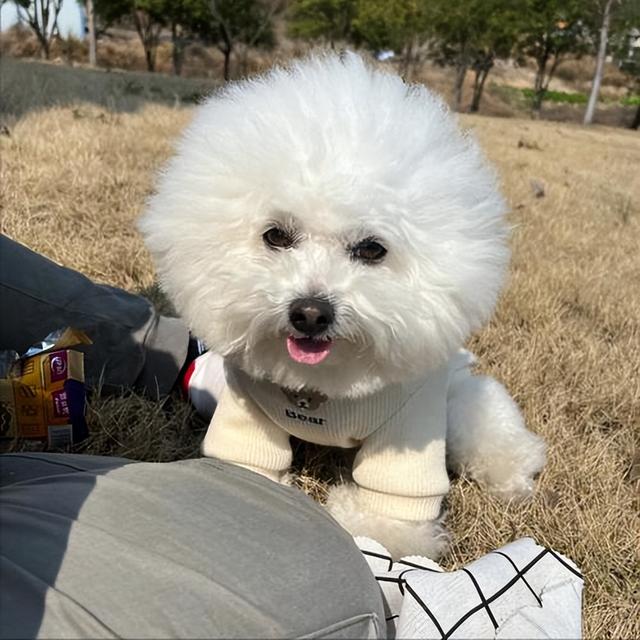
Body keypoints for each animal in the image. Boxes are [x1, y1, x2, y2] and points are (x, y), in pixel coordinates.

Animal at [139, 53, 546, 559]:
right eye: (276, 235)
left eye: (371, 249)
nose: (310, 313)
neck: (324, 386)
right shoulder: (243, 409)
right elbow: (247, 465)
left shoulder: (410, 425)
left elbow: (393, 503)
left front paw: (378, 533)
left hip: (457, 400)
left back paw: (512, 475)